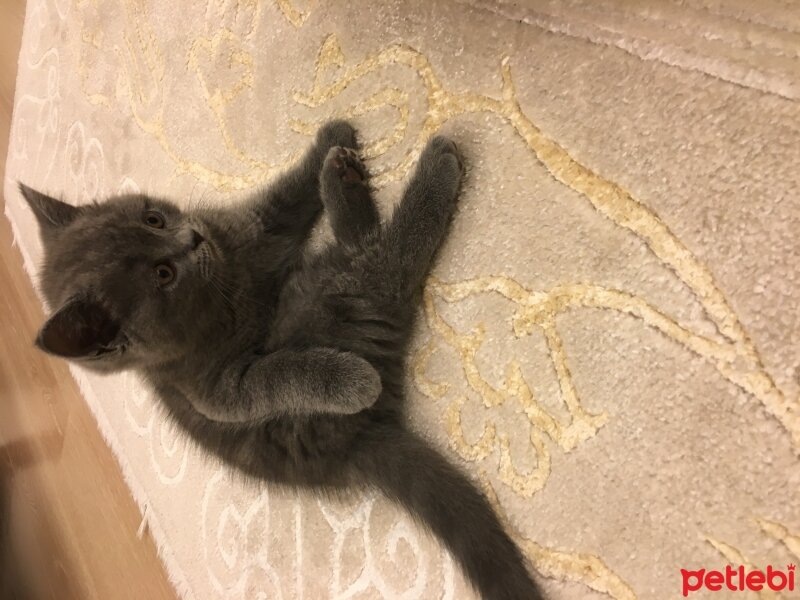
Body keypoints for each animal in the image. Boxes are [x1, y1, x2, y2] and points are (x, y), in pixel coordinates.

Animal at [21, 119, 544, 596]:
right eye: (163, 274)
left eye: (153, 219)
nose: (191, 237)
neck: (227, 278)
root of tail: (362, 438)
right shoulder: (217, 387)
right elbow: (279, 375)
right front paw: (348, 381)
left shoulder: (252, 228)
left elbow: (284, 198)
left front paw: (330, 136)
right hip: (332, 297)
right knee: (383, 259)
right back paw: (422, 169)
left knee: (362, 246)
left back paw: (341, 170)